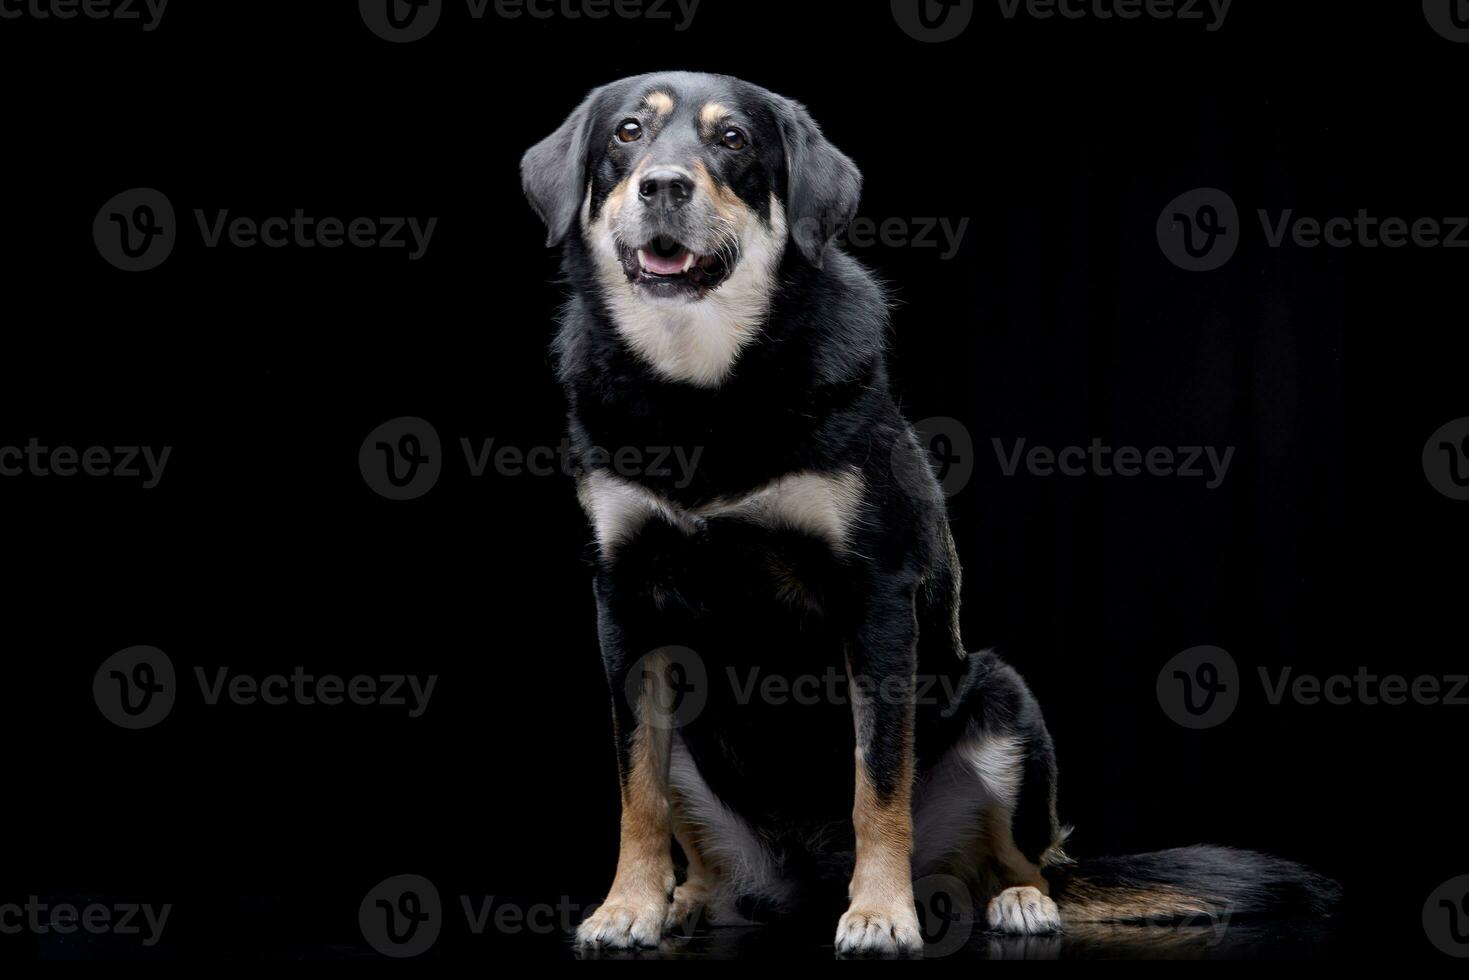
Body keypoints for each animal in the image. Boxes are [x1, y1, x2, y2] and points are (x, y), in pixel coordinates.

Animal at [522, 70, 1339, 957]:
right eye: (627, 132)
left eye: (732, 139)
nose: (663, 185)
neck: (701, 386)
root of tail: (801, 884)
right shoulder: (625, 605)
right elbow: (636, 787)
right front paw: (628, 904)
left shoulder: (875, 595)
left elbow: (877, 780)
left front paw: (881, 911)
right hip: (698, 746)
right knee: (700, 839)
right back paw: (687, 900)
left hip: (1004, 705)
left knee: (1026, 859)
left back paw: (1014, 901)